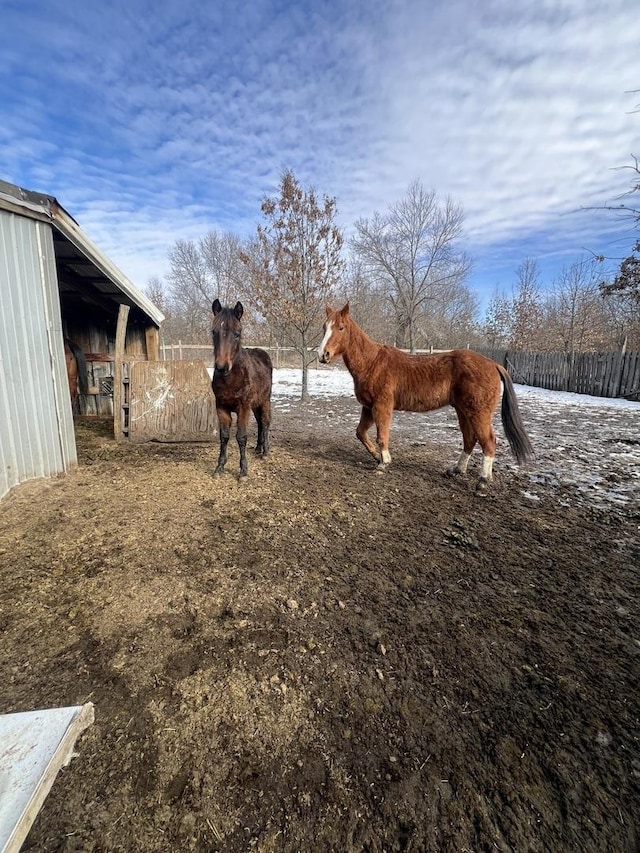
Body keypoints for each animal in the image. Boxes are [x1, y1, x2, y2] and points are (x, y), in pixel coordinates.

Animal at [210, 298, 270, 480]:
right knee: (259, 423)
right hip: (255, 404)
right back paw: (258, 448)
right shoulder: (221, 407)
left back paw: (265, 452)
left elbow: (241, 437)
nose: (221, 367)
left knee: (265, 423)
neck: (231, 378)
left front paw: (243, 471)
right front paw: (219, 467)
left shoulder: (243, 407)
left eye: (237, 334)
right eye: (213, 332)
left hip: (265, 401)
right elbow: (224, 437)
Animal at [318, 302, 532, 490]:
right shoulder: (368, 407)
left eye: (341, 328)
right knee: (470, 440)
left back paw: (483, 481)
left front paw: (383, 462)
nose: (323, 355)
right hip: (463, 411)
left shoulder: (381, 407)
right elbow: (360, 433)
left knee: (488, 442)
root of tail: (494, 365)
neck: (372, 363)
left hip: (479, 413)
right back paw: (456, 470)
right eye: (324, 327)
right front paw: (376, 456)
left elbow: (382, 436)